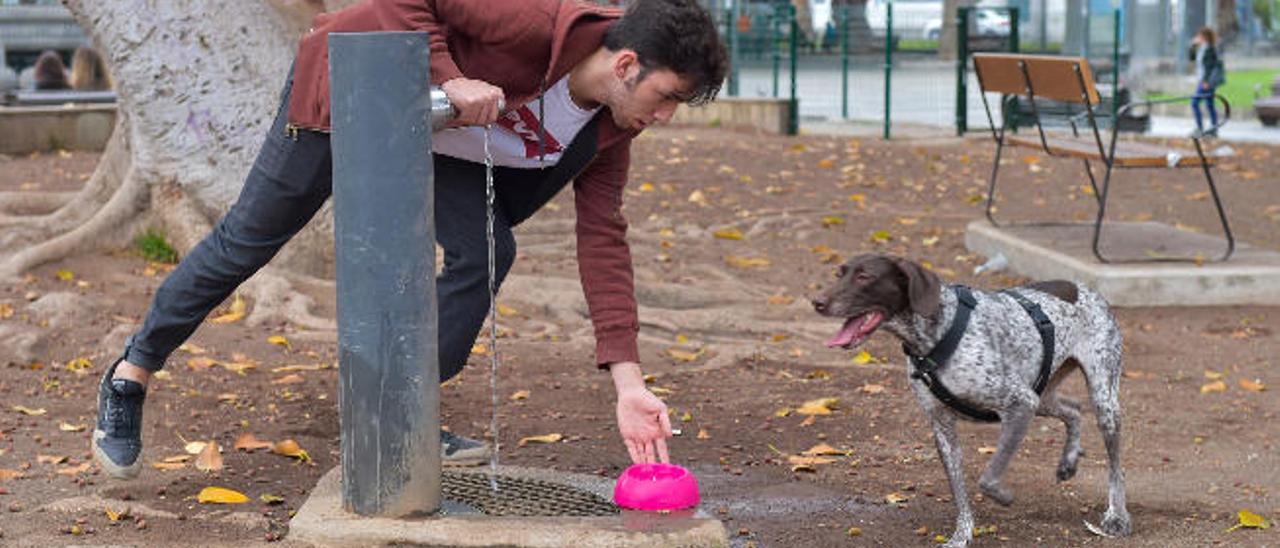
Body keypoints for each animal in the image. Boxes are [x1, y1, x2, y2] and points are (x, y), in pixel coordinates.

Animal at [808, 254, 1131, 545]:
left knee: (1116, 466)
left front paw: (1003, 496)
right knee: (1074, 409)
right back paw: (1068, 461)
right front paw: (961, 536)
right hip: (1044, 397)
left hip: (1102, 400)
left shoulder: (1020, 403)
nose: (817, 302)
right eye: (839, 273)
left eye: (865, 277)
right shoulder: (943, 426)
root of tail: (1085, 288)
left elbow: (987, 479)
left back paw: (1117, 516)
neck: (936, 335)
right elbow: (960, 493)